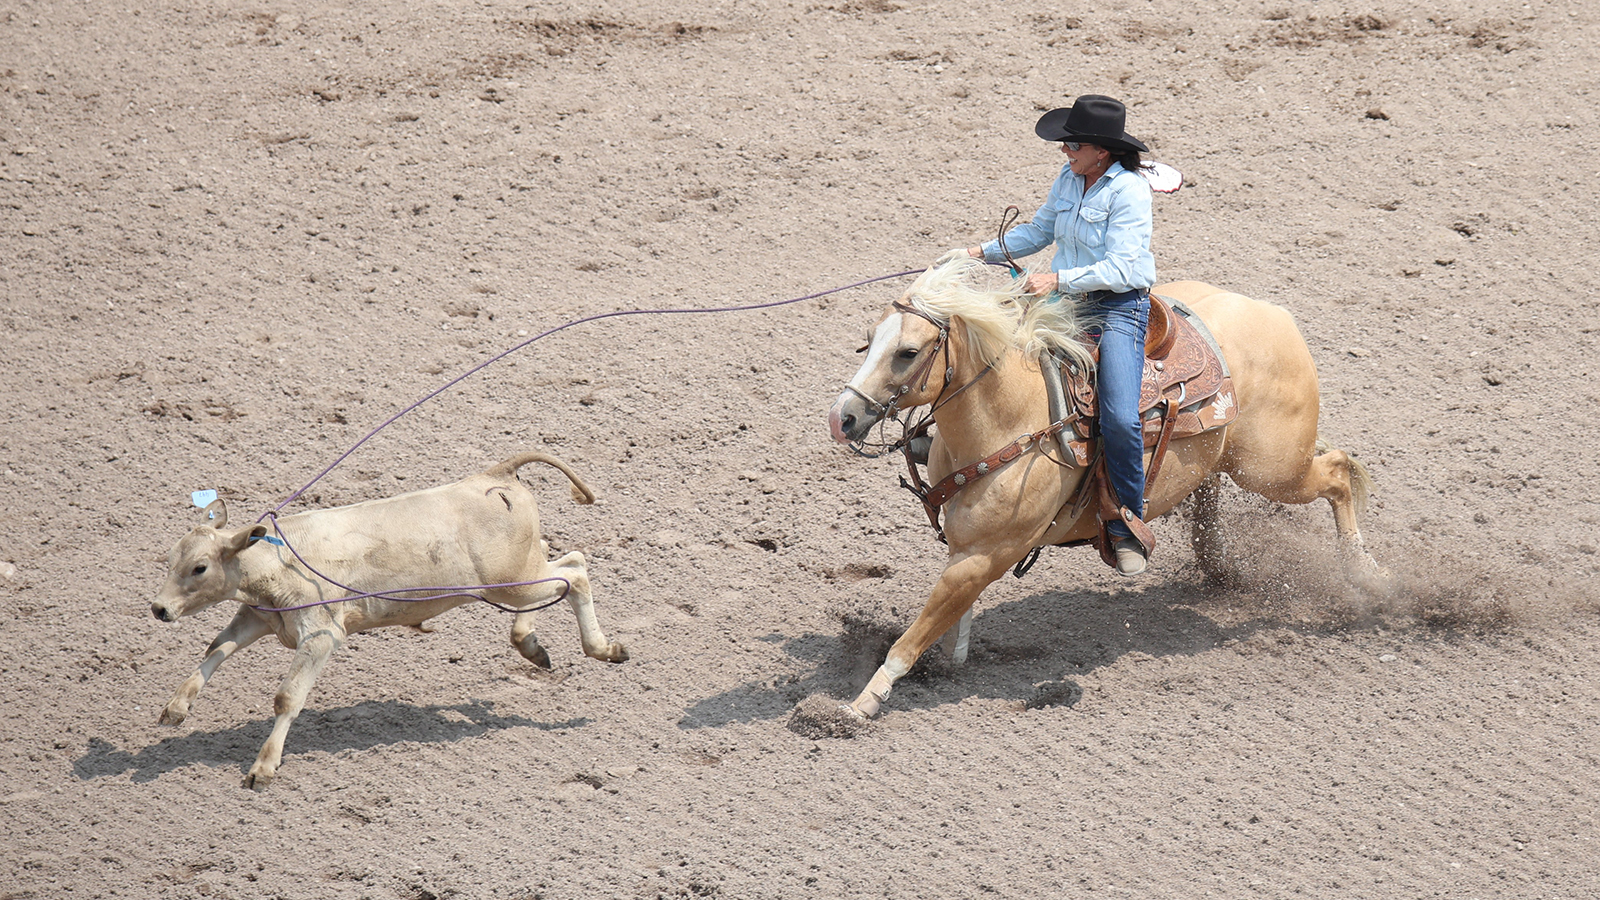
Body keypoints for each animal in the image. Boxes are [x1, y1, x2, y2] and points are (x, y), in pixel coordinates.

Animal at [150, 448, 624, 784]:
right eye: (170, 558)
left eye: (200, 567)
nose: (159, 608)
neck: (277, 559)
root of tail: (495, 476)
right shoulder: (260, 617)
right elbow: (217, 648)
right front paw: (176, 707)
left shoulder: (321, 634)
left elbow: (287, 696)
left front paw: (263, 768)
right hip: (518, 574)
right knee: (557, 563)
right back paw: (530, 644)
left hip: (513, 581)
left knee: (576, 573)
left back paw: (604, 648)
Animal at [825, 256, 1376, 717]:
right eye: (868, 338)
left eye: (907, 352)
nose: (842, 418)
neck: (1012, 418)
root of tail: (1273, 313)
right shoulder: (966, 551)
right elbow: (949, 621)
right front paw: (949, 659)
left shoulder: (985, 554)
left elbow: (911, 638)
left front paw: (857, 707)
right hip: (1230, 463)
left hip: (1272, 469)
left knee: (1339, 473)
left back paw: (1367, 573)